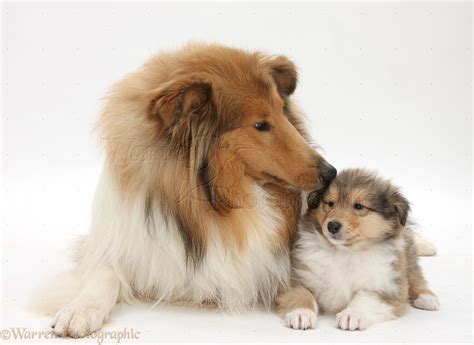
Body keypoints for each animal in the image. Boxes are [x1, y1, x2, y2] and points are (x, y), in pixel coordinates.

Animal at [30, 42, 336, 336]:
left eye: (282, 111)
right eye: (260, 125)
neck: (216, 204)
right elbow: (104, 276)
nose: (330, 173)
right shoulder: (114, 245)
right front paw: (79, 311)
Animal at [276, 169, 438, 330]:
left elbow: (365, 298)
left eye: (359, 206)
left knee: (415, 276)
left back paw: (427, 298)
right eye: (330, 203)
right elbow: (301, 294)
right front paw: (301, 313)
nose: (332, 225)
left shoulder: (387, 286)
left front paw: (352, 315)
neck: (345, 252)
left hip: (407, 259)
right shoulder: (295, 276)